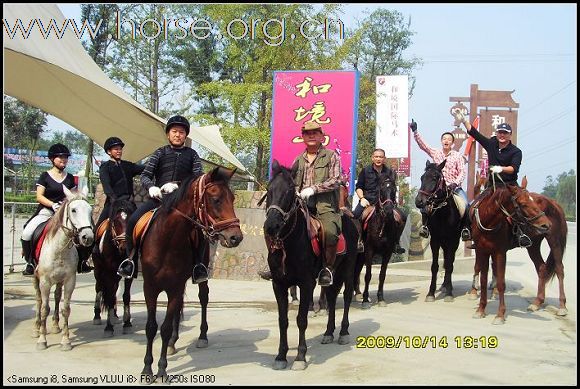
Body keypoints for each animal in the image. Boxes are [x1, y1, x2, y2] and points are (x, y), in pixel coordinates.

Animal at [92, 199, 137, 334]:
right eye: (115, 221)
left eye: (131, 220)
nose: (124, 246)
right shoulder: (107, 273)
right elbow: (110, 295)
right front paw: (108, 327)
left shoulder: (129, 273)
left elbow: (126, 296)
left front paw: (127, 323)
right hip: (98, 270)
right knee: (99, 288)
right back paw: (97, 316)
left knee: (114, 288)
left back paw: (115, 315)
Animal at [139, 167, 242, 378]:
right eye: (216, 199)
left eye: (233, 198)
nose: (236, 237)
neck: (167, 239)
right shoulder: (150, 287)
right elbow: (151, 327)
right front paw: (147, 369)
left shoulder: (175, 287)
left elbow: (165, 328)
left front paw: (161, 370)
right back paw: (172, 343)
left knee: (203, 298)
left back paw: (202, 336)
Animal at [468, 176, 568, 316]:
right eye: (523, 204)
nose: (546, 224)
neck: (488, 221)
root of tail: (554, 203)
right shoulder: (482, 249)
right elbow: (482, 276)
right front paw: (481, 307)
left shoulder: (499, 251)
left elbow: (500, 280)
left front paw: (499, 312)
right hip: (533, 245)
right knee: (541, 268)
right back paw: (537, 302)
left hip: (555, 241)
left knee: (559, 269)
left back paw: (562, 306)